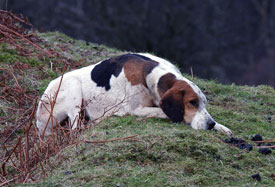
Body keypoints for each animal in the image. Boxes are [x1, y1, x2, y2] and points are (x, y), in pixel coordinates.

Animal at [36, 52, 233, 136]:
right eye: (192, 102)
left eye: (204, 102)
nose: (210, 124)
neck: (150, 74)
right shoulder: (136, 109)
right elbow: (163, 111)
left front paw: (221, 126)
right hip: (72, 87)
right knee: (76, 128)